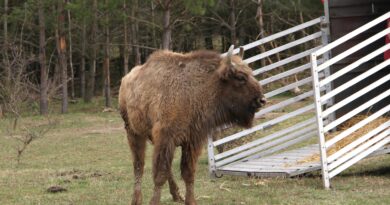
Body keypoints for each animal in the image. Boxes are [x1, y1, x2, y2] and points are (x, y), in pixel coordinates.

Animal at [119, 45, 266, 204]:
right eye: (240, 77)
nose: (262, 100)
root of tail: (126, 79)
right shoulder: (166, 139)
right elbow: (160, 175)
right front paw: (154, 202)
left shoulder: (191, 141)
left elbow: (188, 173)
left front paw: (190, 201)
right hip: (133, 132)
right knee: (139, 165)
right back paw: (136, 199)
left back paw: (176, 195)